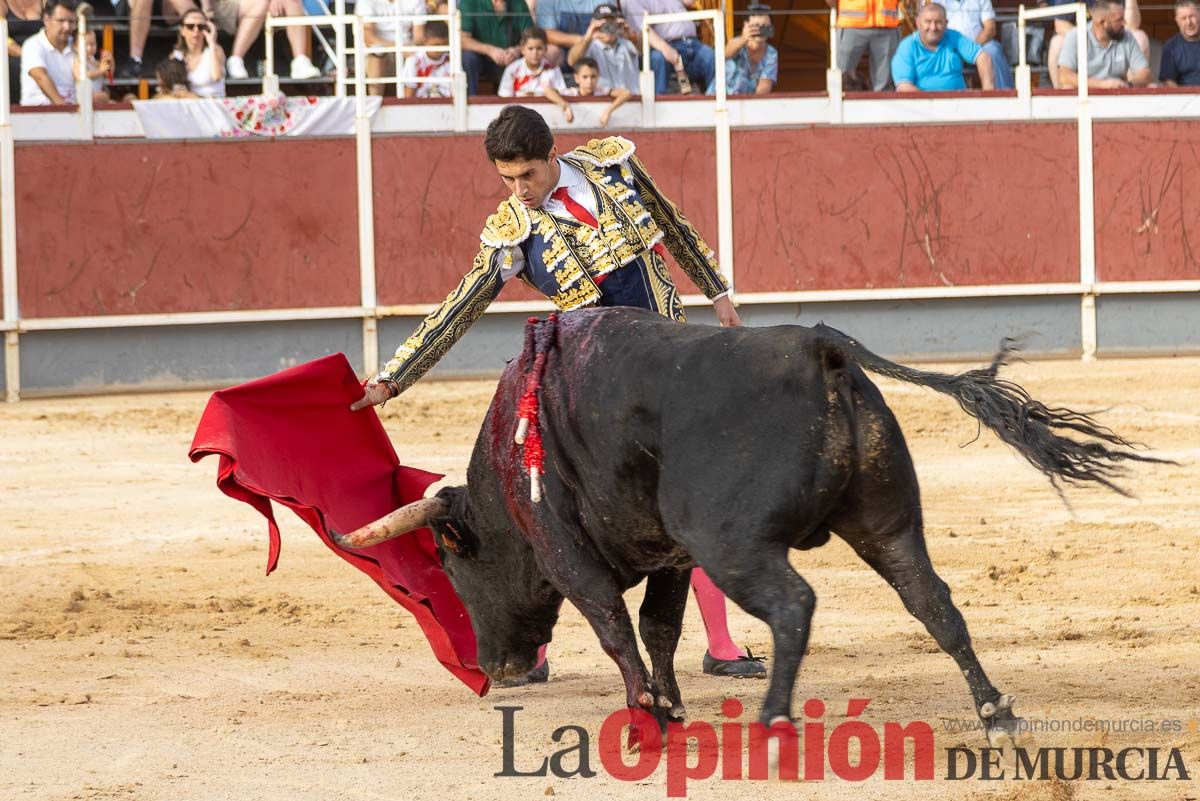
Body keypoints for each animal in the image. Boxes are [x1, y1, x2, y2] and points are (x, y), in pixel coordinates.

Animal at [340, 306, 1161, 743]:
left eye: (450, 564)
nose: (494, 667)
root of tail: (818, 345)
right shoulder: (670, 554)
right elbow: (660, 625)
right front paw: (669, 706)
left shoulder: (569, 549)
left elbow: (614, 625)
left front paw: (647, 715)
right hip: (886, 521)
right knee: (932, 600)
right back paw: (994, 712)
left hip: (735, 545)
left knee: (795, 604)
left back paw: (772, 719)